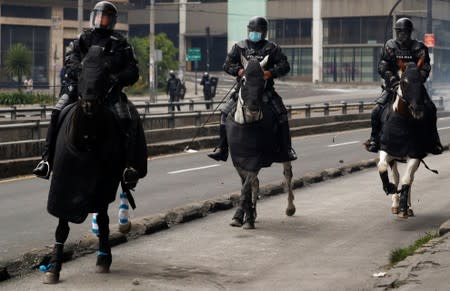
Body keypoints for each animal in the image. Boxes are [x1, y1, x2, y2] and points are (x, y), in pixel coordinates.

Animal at [43, 46, 147, 286]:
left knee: (109, 211)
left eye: (106, 70)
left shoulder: (103, 186)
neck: (86, 140)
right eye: (80, 69)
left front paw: (104, 258)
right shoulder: (64, 188)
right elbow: (62, 227)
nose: (89, 103)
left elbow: (103, 219)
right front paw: (53, 268)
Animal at [225, 55, 296, 230]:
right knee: (256, 183)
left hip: (284, 153)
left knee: (287, 174)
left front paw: (245, 217)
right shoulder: (239, 161)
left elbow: (246, 186)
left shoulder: (255, 160)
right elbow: (247, 184)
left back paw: (290, 208)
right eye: (243, 79)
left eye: (263, 80)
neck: (248, 123)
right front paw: (243, 215)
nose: (253, 108)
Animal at [376, 62, 432, 219]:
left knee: (410, 178)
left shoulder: (415, 155)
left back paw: (408, 206)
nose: (417, 109)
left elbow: (407, 180)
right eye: (404, 82)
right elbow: (382, 167)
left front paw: (403, 206)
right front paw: (389, 188)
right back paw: (395, 202)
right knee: (396, 176)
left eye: (422, 82)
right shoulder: (386, 150)